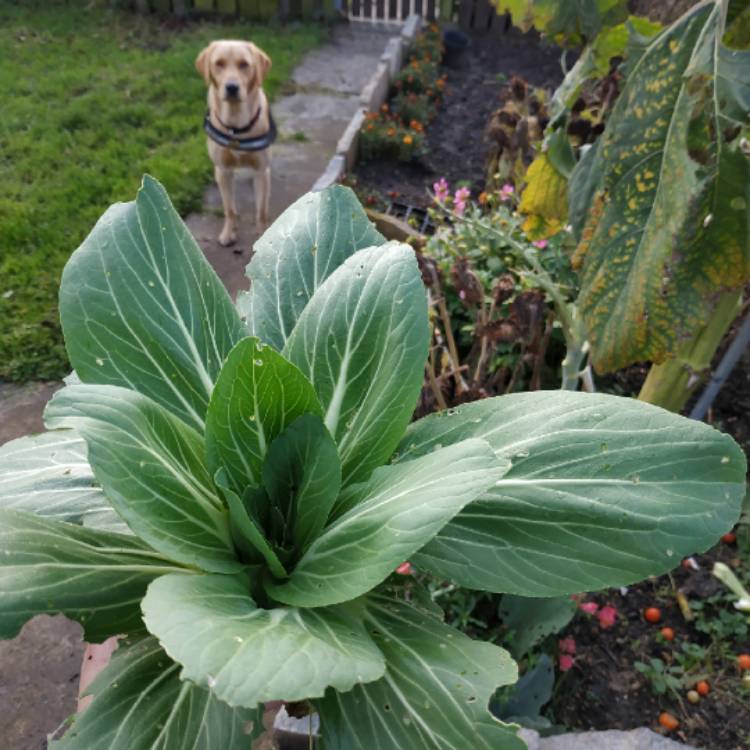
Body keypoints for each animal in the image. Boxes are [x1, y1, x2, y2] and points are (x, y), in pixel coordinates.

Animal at [197, 41, 274, 247]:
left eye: (244, 64)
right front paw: (228, 233)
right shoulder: (223, 170)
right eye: (219, 63)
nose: (232, 87)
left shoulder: (260, 170)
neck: (236, 126)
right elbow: (229, 209)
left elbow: (261, 211)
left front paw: (262, 236)